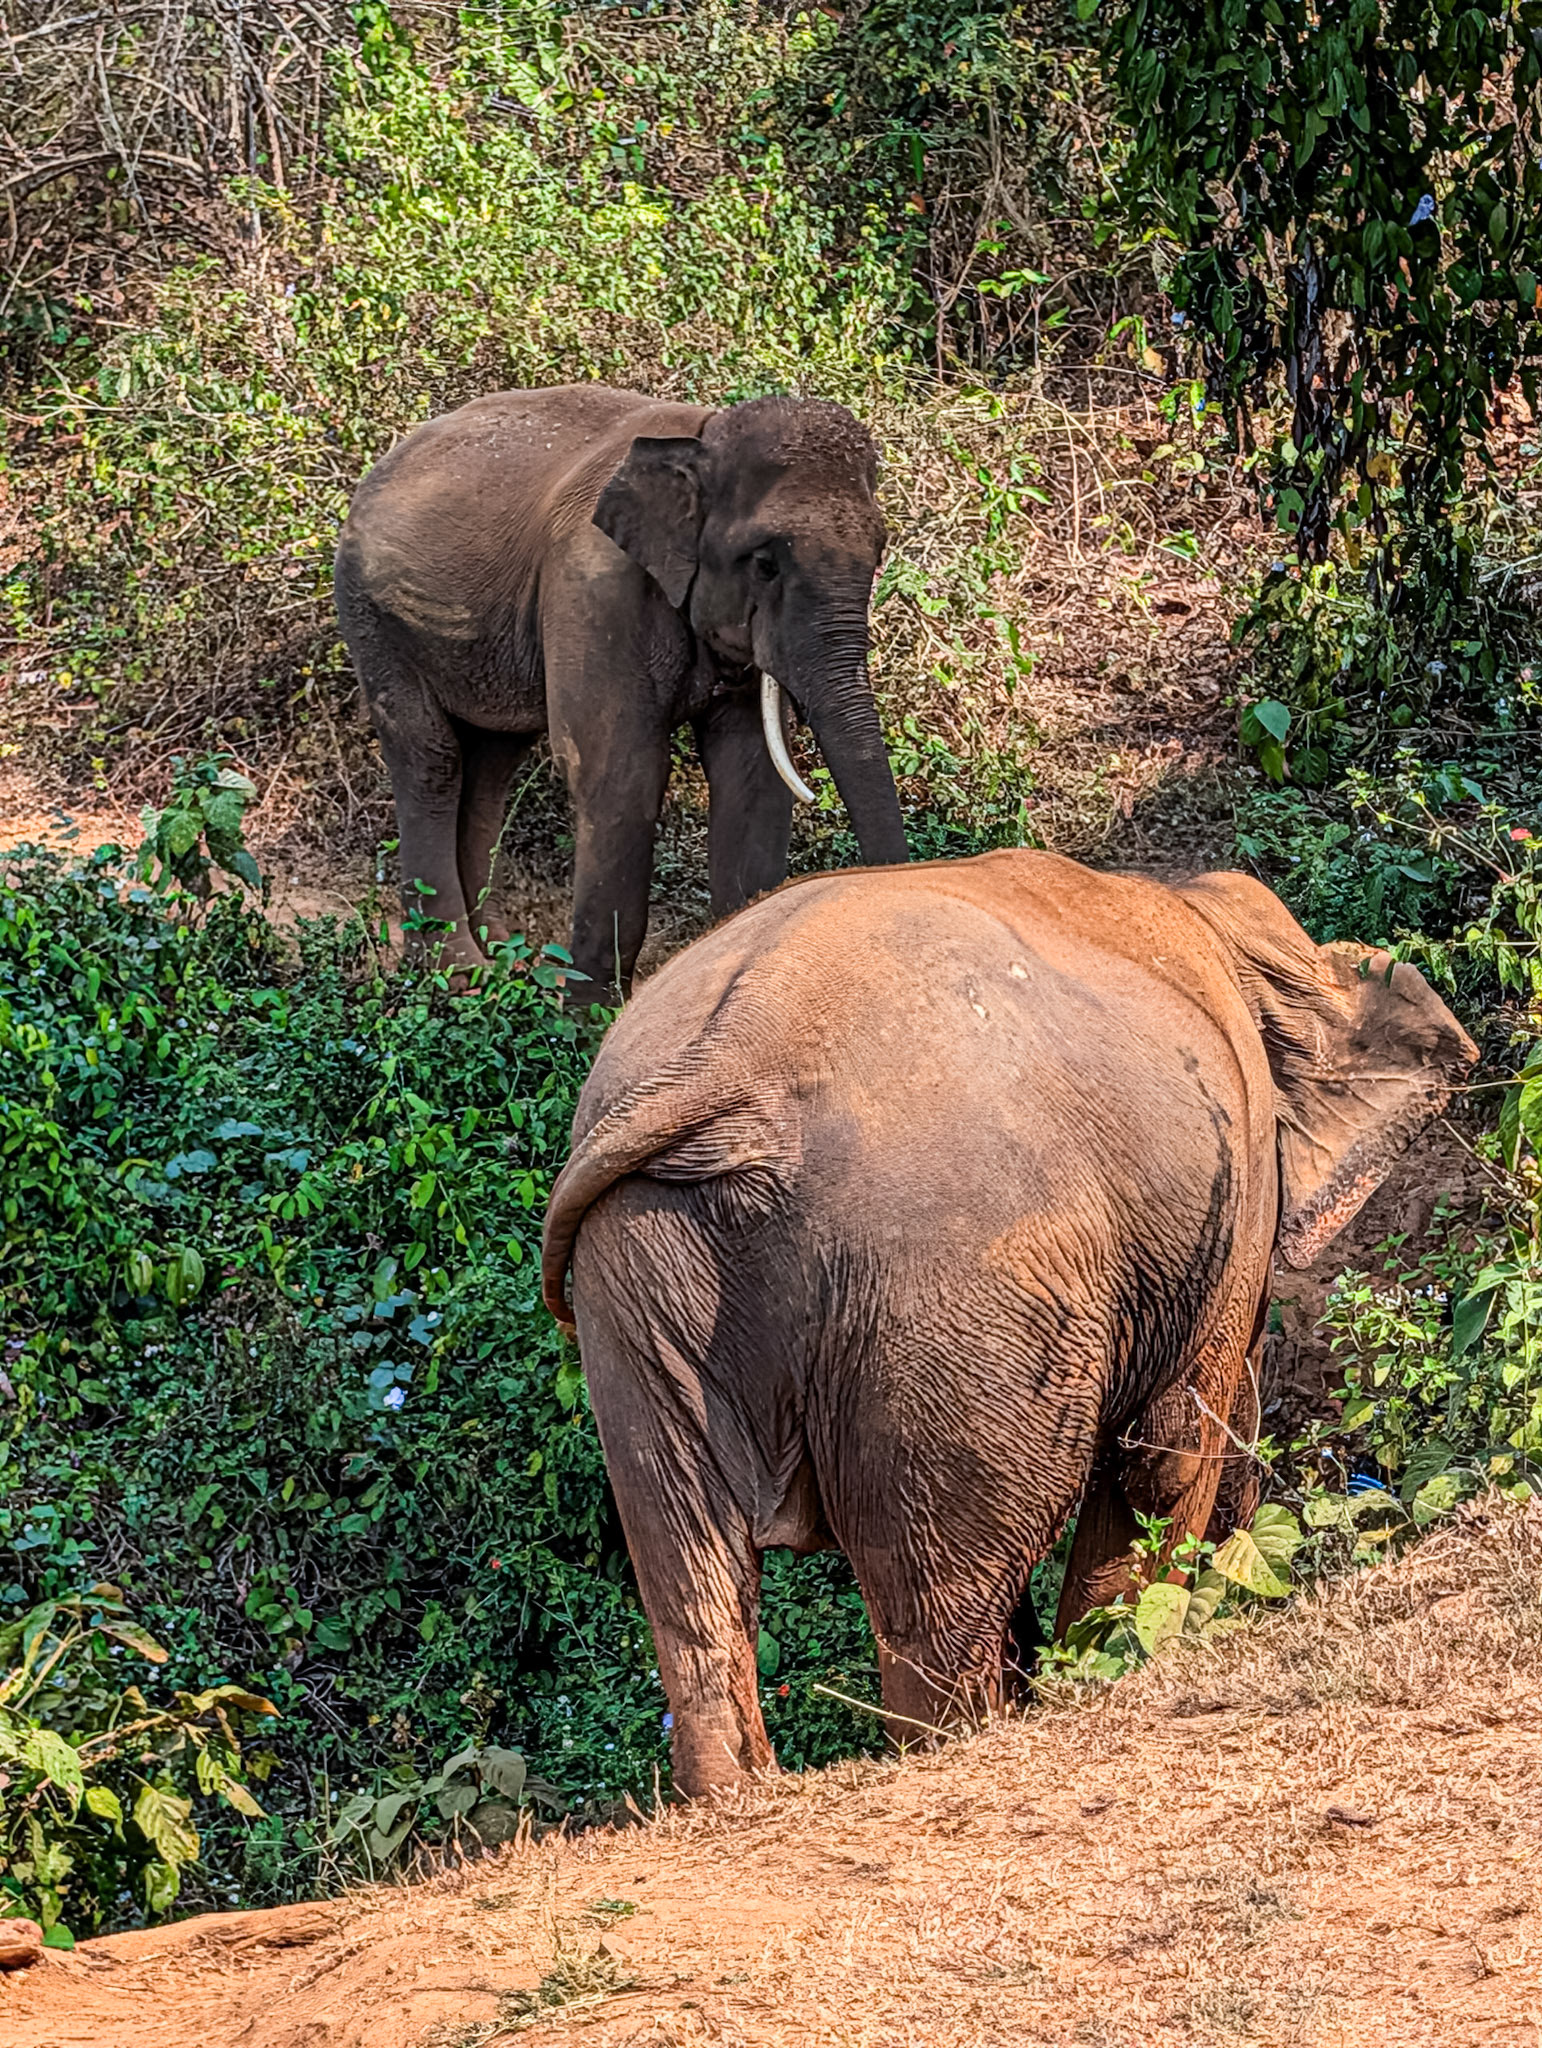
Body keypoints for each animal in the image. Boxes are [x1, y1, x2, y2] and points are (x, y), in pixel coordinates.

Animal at [334, 384, 909, 999]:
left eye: (879, 554)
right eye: (765, 564)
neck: (703, 435)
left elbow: (752, 778)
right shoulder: (593, 585)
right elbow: (620, 774)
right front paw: (588, 1017)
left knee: (492, 762)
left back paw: (506, 961)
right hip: (373, 618)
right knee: (432, 760)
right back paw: (458, 975)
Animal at [540, 849, 1476, 1796]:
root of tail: (729, 1059)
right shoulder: (1234, 1189)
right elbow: (1165, 1458)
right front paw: (1111, 1667)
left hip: (639, 1268)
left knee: (688, 1569)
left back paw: (739, 1791)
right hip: (939, 1289)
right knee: (935, 1599)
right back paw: (960, 1739)